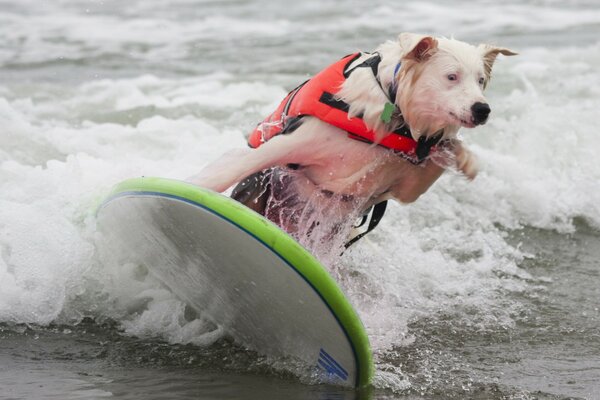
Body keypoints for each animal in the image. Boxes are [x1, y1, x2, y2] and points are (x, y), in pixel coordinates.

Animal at [189, 33, 516, 260]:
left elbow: (436, 153)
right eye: (451, 76)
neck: (396, 117)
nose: (482, 110)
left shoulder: (407, 183)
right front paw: (194, 186)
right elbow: (232, 166)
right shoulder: (295, 142)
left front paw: (463, 156)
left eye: (481, 80)